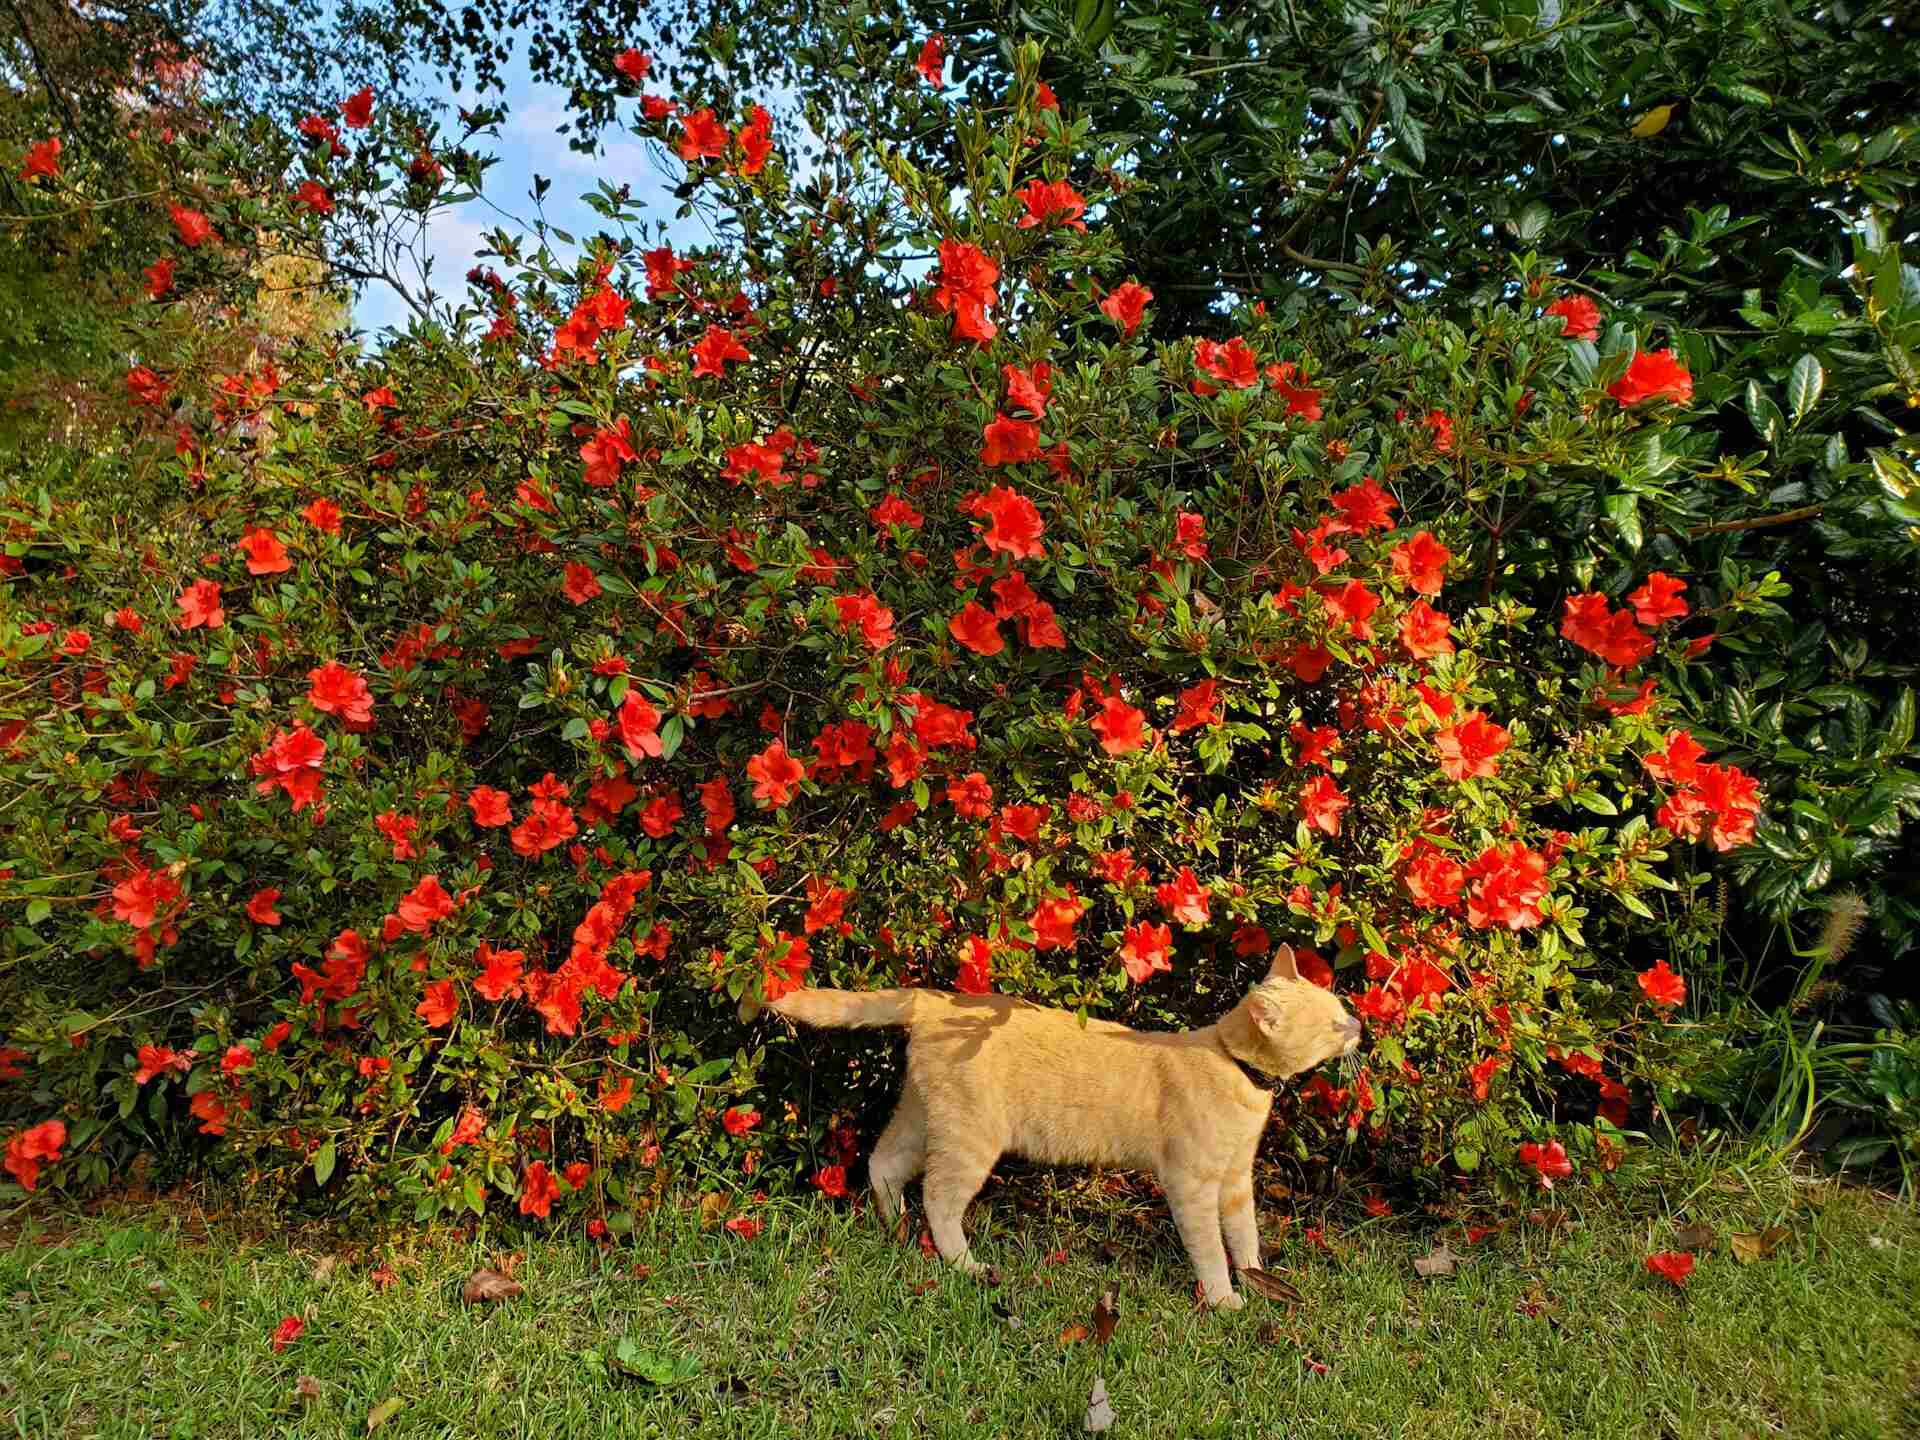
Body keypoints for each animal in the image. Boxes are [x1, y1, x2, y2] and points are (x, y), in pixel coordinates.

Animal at [764, 952, 1367, 1313]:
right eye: (1333, 1022)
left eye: (1343, 1009)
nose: (1360, 1024)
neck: (1237, 1069)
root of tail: (938, 998)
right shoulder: (1191, 1183)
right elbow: (1210, 1249)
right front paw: (1224, 1299)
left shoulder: (1236, 1181)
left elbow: (1243, 1237)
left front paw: (1257, 1278)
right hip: (970, 1139)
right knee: (938, 1198)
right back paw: (964, 1264)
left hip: (922, 1115)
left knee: (883, 1163)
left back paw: (895, 1228)